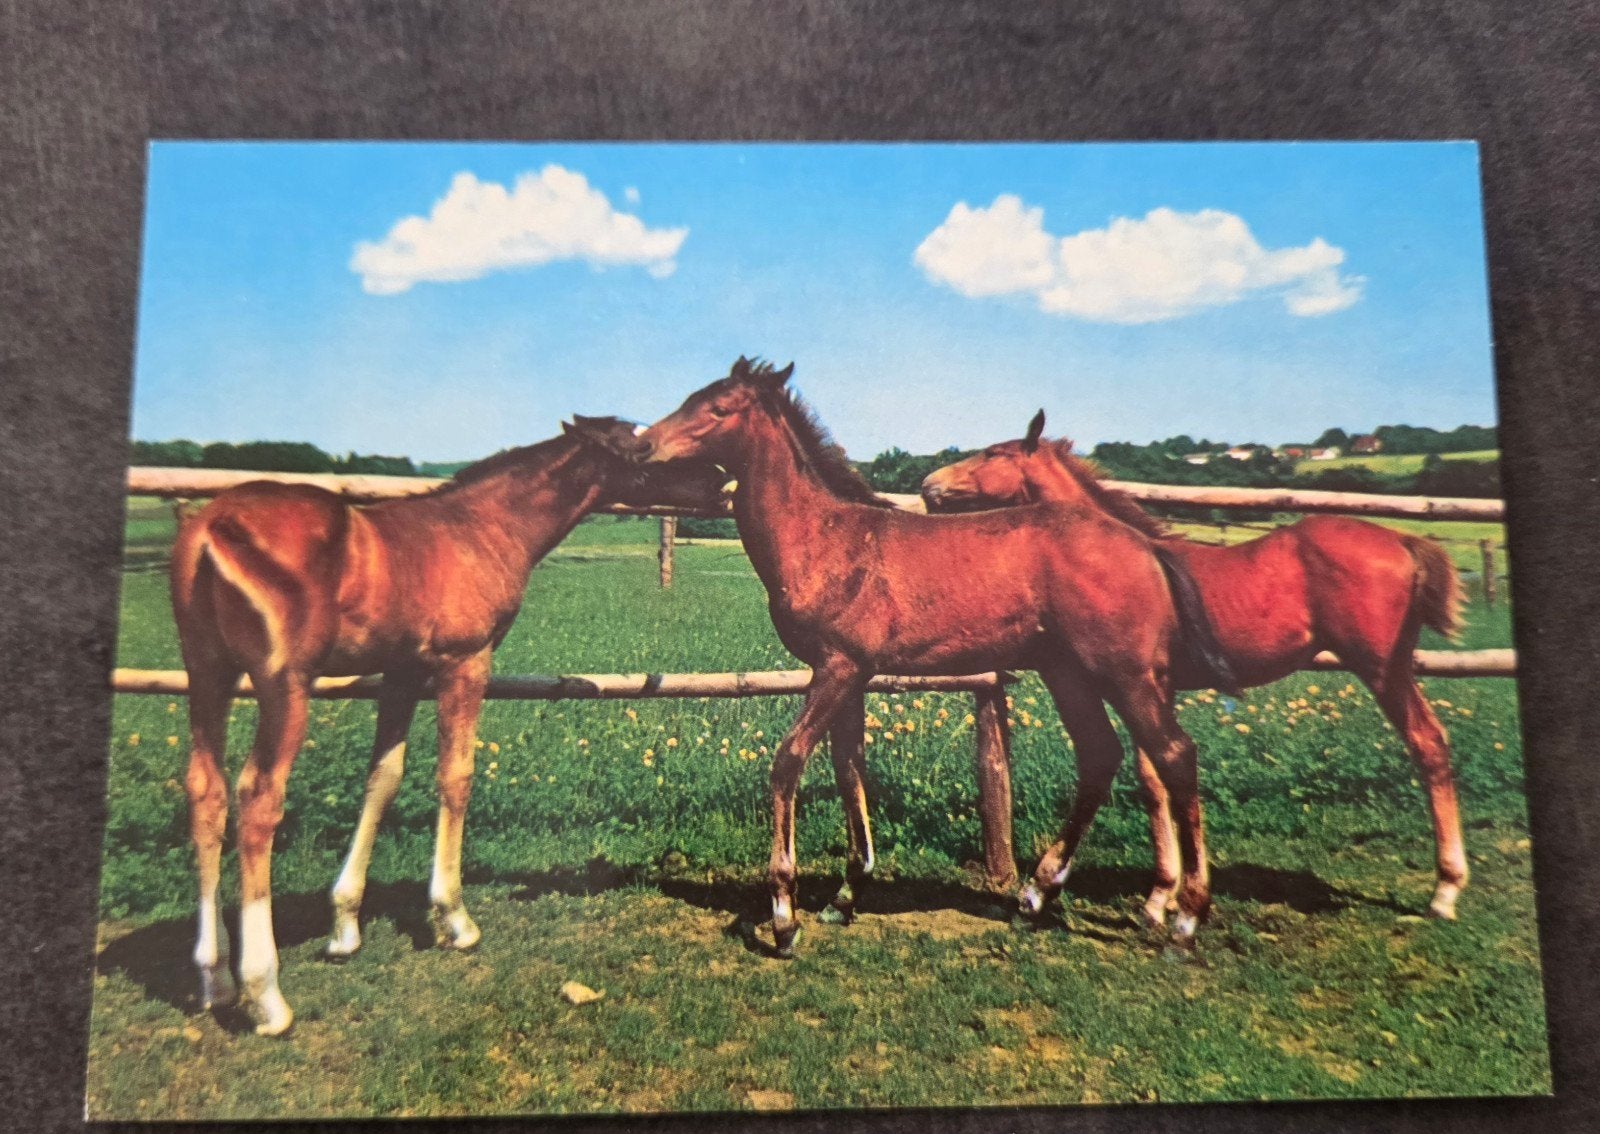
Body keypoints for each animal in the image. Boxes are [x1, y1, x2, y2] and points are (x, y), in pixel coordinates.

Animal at [169, 416, 726, 1034]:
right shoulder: (465, 664)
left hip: (208, 677)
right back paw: (264, 993)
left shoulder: (402, 673)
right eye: (645, 446)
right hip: (282, 686)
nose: (719, 478)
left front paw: (344, 927)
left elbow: (383, 779)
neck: (482, 528)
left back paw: (213, 978)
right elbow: (455, 777)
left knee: (206, 792)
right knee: (258, 799)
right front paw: (454, 918)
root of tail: (210, 529)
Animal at [635, 358, 1237, 956]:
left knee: (1174, 755)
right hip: (1068, 672)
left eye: (718, 408)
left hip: (1126, 672)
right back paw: (1035, 896)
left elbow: (789, 762)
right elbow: (849, 767)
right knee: (1101, 757)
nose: (642, 446)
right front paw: (845, 896)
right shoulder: (852, 674)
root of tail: (1147, 546)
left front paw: (784, 915)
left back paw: (1183, 918)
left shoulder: (837, 667)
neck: (826, 539)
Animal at [920, 410, 1470, 923]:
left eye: (993, 453)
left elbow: (1153, 776)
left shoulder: (1136, 684)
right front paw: (1163, 895)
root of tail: (1404, 542)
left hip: (1382, 670)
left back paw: (1445, 891)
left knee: (1428, 742)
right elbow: (1155, 779)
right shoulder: (1155, 690)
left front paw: (1164, 897)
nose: (929, 486)